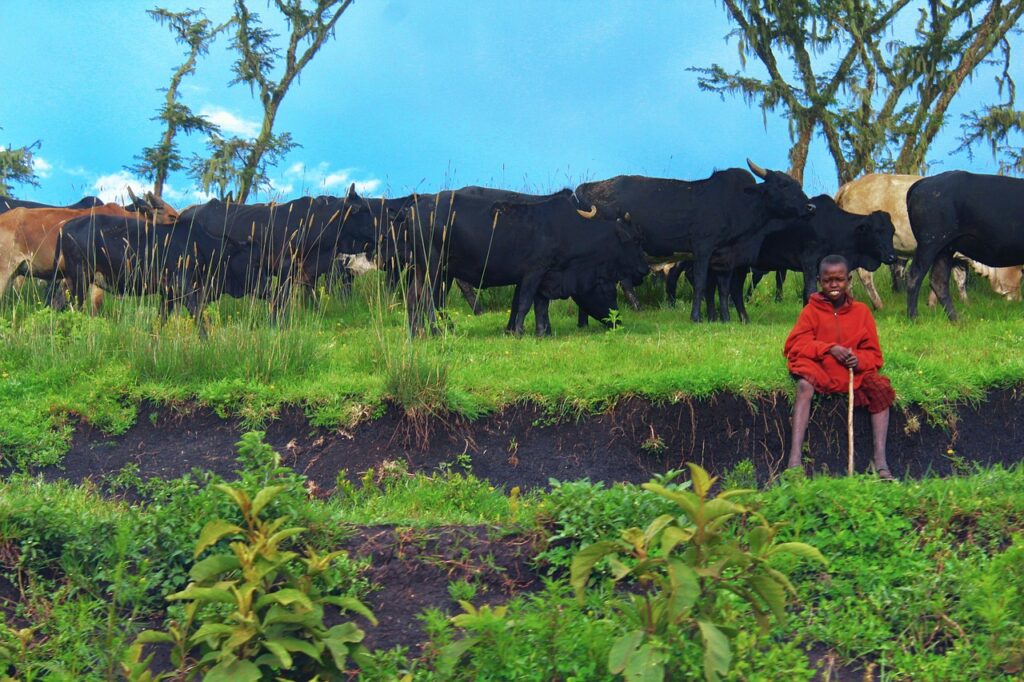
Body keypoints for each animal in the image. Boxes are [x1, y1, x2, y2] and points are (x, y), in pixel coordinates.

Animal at [56, 213, 264, 336]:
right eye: (255, 261)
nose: (267, 288)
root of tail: (65, 226)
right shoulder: (184, 287)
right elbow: (199, 319)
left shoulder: (168, 294)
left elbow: (160, 321)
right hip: (80, 279)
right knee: (75, 309)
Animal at [399, 187, 649, 335]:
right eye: (634, 240)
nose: (645, 269)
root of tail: (416, 206)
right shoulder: (534, 271)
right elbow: (525, 302)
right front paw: (519, 332)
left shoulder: (545, 274)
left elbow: (538, 305)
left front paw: (541, 332)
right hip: (434, 267)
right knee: (429, 298)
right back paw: (436, 331)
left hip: (424, 269)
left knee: (414, 297)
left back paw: (417, 333)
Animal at [574, 159, 815, 323]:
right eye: (783, 185)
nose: (810, 207)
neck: (735, 202)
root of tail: (587, 187)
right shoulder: (702, 248)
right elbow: (700, 282)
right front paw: (697, 317)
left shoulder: (725, 256)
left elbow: (723, 287)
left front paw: (724, 317)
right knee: (621, 282)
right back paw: (634, 308)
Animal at [906, 171, 1024, 320]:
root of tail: (924, 182)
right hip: (930, 243)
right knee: (914, 276)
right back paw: (914, 317)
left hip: (945, 248)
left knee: (938, 281)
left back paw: (956, 320)